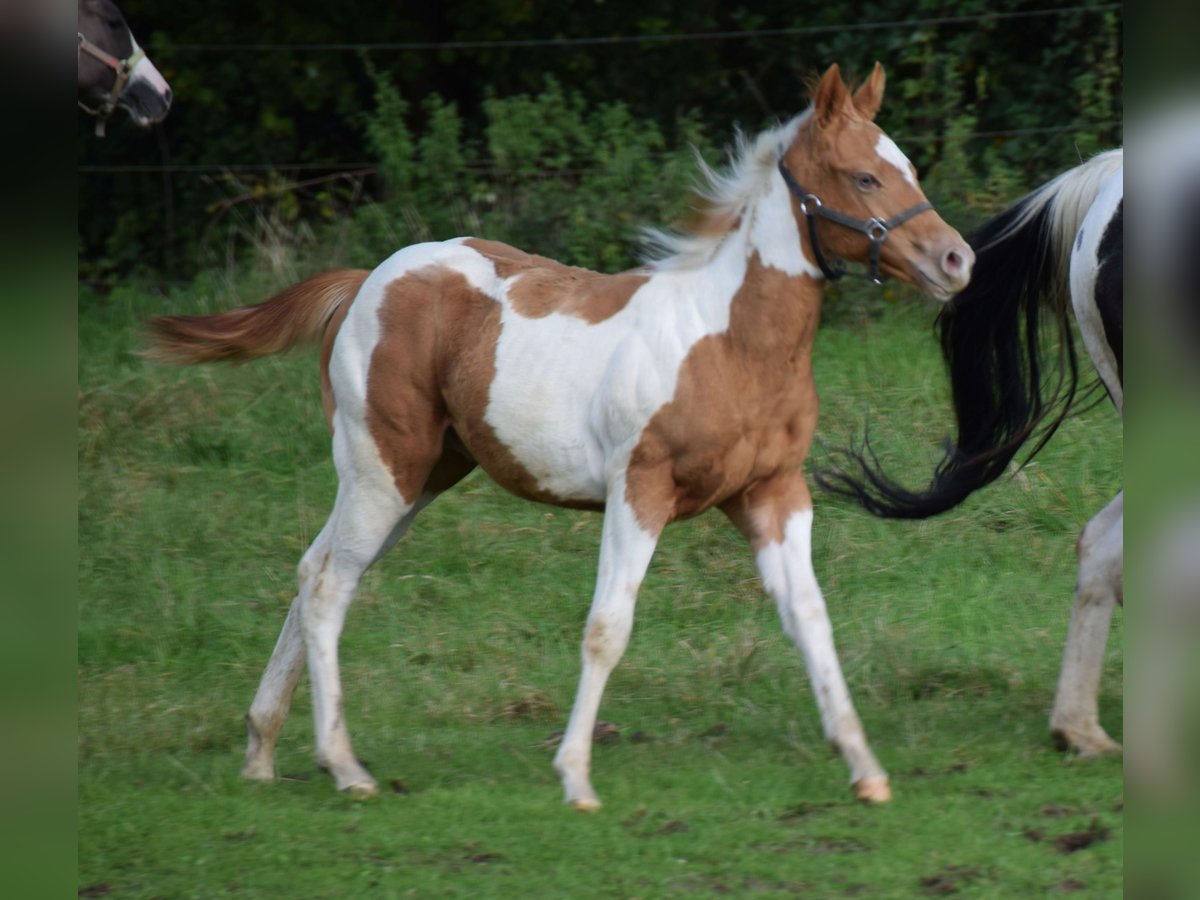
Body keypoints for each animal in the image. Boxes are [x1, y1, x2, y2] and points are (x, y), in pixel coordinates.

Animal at [147, 63, 974, 811]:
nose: (956, 259)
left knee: (312, 568)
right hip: (385, 469)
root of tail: (366, 282)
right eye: (864, 177)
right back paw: (345, 768)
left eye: (907, 167)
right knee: (327, 587)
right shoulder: (639, 489)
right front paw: (575, 778)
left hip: (413, 481)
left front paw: (864, 767)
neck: (730, 341)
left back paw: (261, 752)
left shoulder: (772, 493)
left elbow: (810, 620)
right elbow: (608, 627)